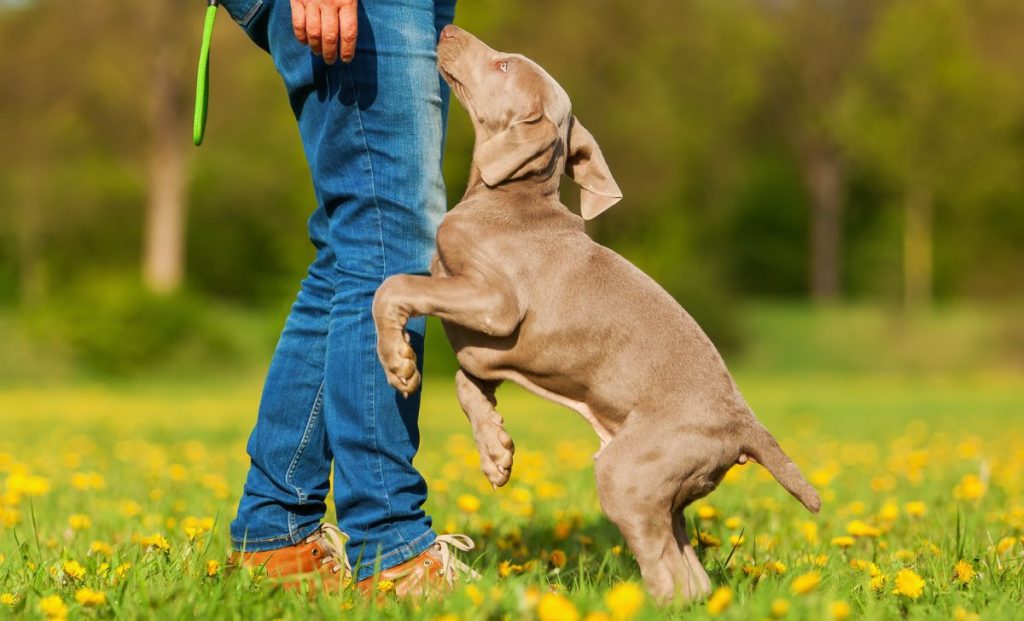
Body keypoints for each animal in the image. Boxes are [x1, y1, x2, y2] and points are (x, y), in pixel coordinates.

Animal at [372, 26, 819, 606]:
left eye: (503, 65)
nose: (446, 30)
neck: (509, 196)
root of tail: (744, 424)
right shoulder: (483, 341)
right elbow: (468, 383)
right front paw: (496, 452)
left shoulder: (496, 305)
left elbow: (395, 287)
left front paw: (398, 363)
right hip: (666, 485)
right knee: (692, 576)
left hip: (626, 473)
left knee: (667, 572)